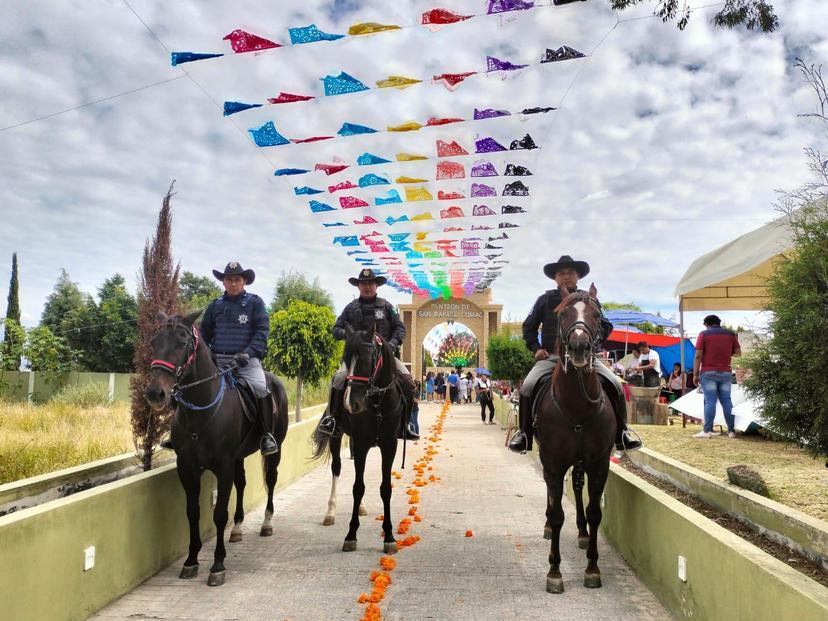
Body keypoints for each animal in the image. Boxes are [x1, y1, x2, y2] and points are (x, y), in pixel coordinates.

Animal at [147, 310, 290, 588]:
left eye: (182, 342)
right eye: (154, 341)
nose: (155, 393)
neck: (200, 413)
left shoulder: (223, 466)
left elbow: (219, 514)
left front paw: (217, 565)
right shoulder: (187, 467)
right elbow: (192, 512)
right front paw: (191, 561)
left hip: (274, 450)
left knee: (271, 479)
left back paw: (266, 524)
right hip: (238, 458)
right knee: (242, 483)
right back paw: (237, 529)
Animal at [310, 324, 404, 552]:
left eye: (367, 359)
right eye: (345, 357)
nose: (351, 403)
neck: (377, 402)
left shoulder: (389, 445)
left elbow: (385, 488)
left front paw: (389, 537)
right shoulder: (361, 444)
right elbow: (357, 487)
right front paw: (351, 535)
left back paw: (360, 508)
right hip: (336, 435)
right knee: (336, 468)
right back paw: (330, 512)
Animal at [532, 290, 616, 592]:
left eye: (597, 315)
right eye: (562, 313)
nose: (580, 347)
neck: (578, 405)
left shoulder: (600, 463)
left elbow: (595, 513)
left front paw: (592, 568)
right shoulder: (553, 462)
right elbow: (558, 514)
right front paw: (554, 571)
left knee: (579, 488)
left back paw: (582, 532)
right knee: (551, 492)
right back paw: (547, 526)